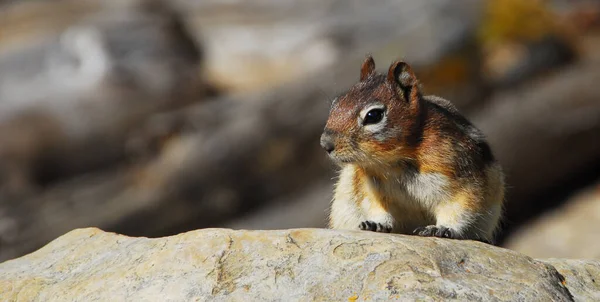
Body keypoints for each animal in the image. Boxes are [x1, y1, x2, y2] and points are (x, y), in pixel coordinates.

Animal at [322, 55, 504, 244]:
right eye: (335, 104)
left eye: (373, 115)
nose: (325, 144)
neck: (394, 162)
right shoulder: (369, 188)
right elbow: (376, 207)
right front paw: (376, 223)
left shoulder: (463, 177)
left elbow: (461, 207)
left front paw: (443, 228)